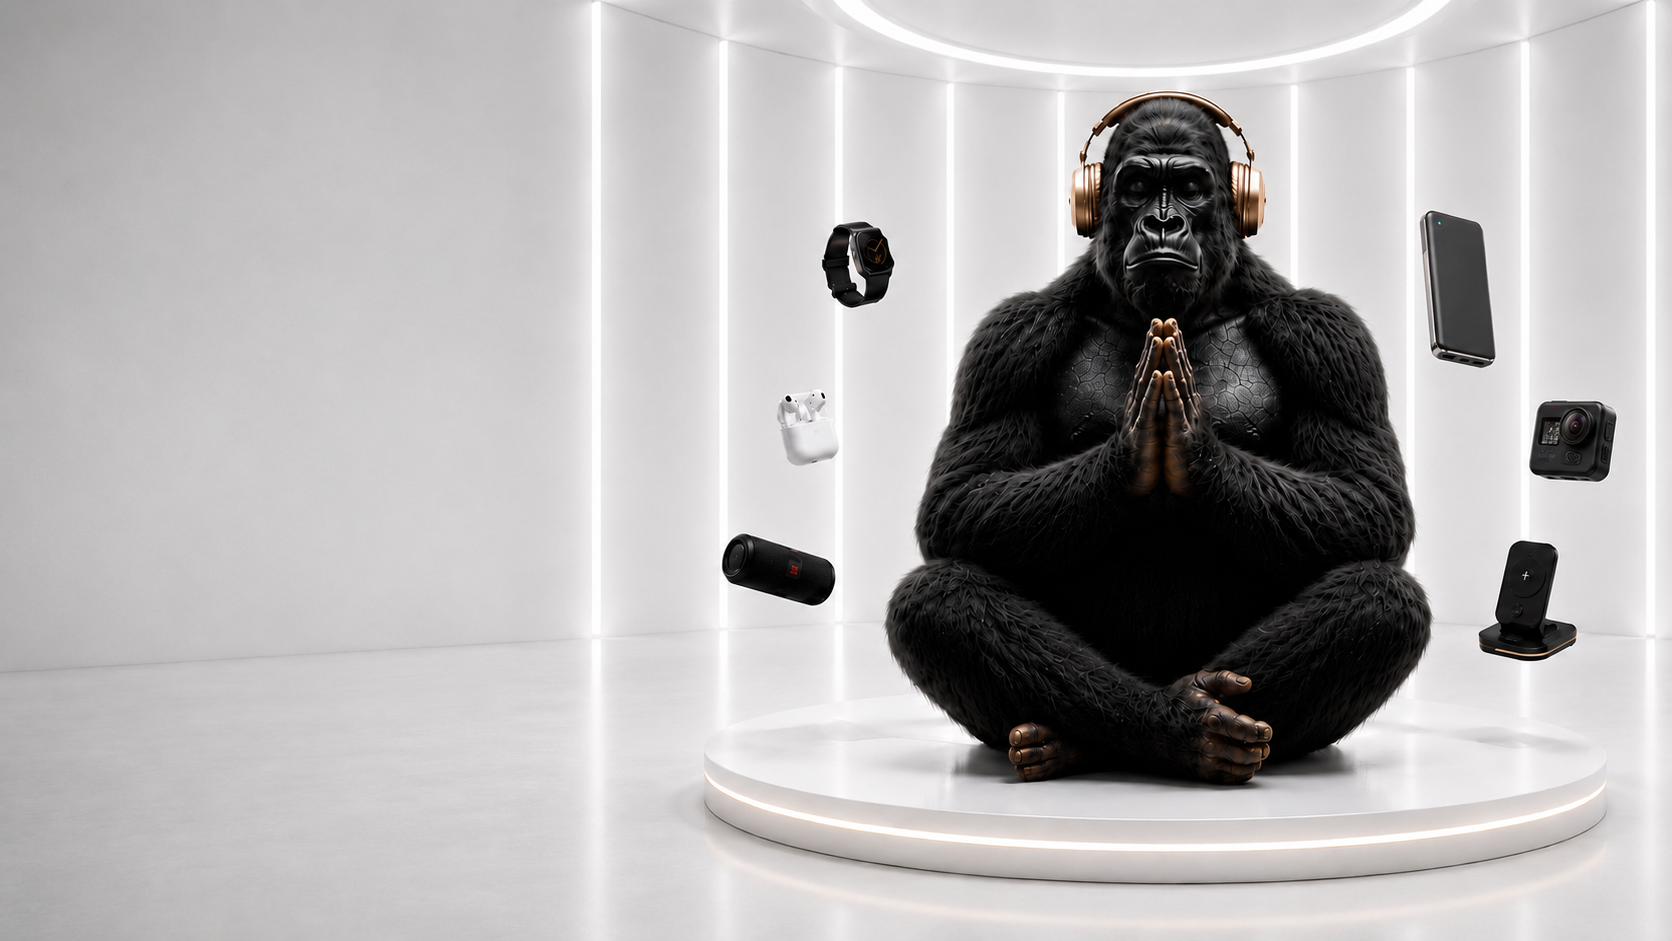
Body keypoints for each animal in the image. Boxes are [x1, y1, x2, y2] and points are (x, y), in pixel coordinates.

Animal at [884, 97, 1431, 785]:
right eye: (1139, 186)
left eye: (1191, 187)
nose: (1164, 222)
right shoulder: (1007, 339)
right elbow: (958, 499)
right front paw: (1132, 452)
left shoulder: (1331, 336)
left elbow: (1371, 499)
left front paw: (1195, 451)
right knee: (936, 598)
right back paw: (1153, 728)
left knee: (1383, 598)